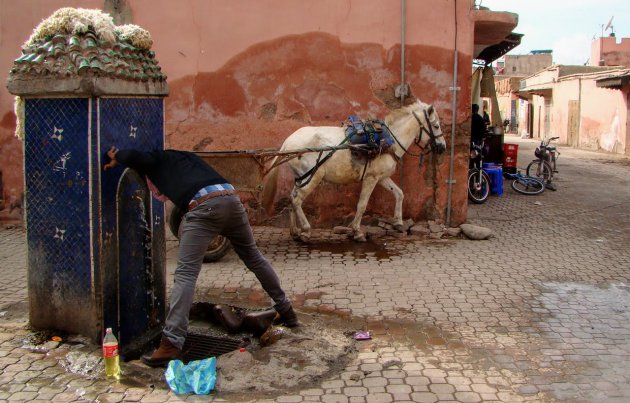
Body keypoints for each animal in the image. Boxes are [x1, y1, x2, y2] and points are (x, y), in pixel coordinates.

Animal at [270, 100, 446, 243]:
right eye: (436, 126)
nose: (443, 147)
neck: (389, 140)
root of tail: (287, 143)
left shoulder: (381, 177)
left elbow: (399, 193)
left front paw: (398, 222)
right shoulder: (371, 178)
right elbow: (362, 204)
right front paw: (357, 231)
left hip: (302, 177)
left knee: (291, 198)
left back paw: (294, 231)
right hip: (314, 176)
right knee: (297, 200)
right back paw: (306, 231)